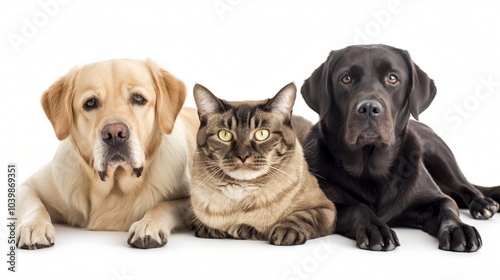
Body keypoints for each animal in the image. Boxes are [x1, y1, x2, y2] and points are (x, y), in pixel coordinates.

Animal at [16, 58, 198, 249]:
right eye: (90, 103)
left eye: (138, 98)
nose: (115, 134)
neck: (114, 188)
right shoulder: (28, 187)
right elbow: (36, 206)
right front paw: (34, 225)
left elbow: (164, 205)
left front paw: (149, 224)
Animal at [189, 83, 338, 245]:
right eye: (224, 135)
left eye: (262, 134)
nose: (243, 155)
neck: (241, 195)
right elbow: (208, 225)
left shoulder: (326, 209)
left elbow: (302, 217)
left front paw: (285, 231)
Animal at [300, 44, 500, 253]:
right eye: (346, 78)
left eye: (392, 78)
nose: (369, 108)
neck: (372, 169)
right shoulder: (327, 203)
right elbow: (357, 207)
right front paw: (376, 228)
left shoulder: (436, 198)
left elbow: (448, 208)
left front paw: (458, 229)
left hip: (441, 156)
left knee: (464, 187)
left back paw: (483, 204)